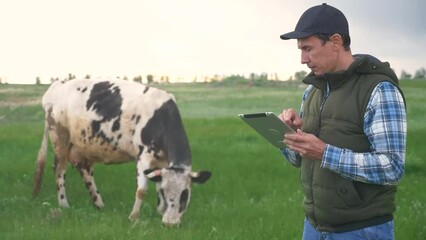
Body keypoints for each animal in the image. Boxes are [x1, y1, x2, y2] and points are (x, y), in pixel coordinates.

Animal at [32, 79, 212, 225]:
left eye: (185, 194)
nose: (170, 224)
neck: (161, 118)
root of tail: (57, 85)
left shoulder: (162, 163)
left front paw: (160, 212)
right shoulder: (143, 157)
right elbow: (141, 190)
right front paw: (134, 217)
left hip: (83, 145)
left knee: (84, 170)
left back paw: (99, 204)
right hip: (59, 136)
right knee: (60, 170)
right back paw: (64, 205)